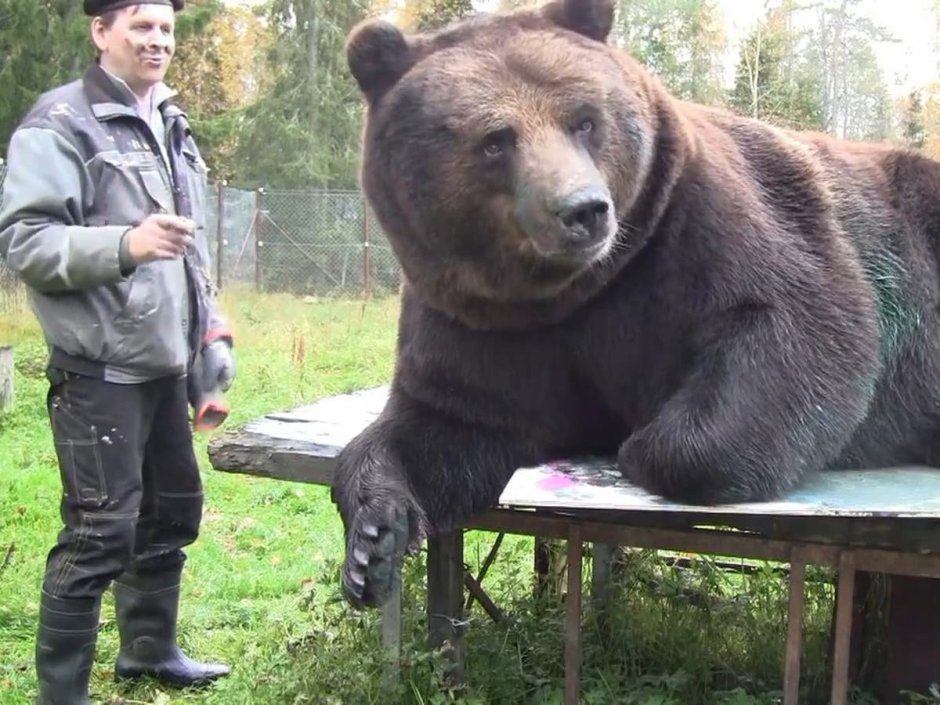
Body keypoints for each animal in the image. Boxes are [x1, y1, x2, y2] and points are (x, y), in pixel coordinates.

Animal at [330, 0, 940, 609]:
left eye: (583, 119)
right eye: (495, 140)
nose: (582, 209)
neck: (571, 292)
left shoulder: (704, 224)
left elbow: (794, 326)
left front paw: (642, 445)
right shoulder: (479, 322)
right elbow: (446, 422)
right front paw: (372, 545)